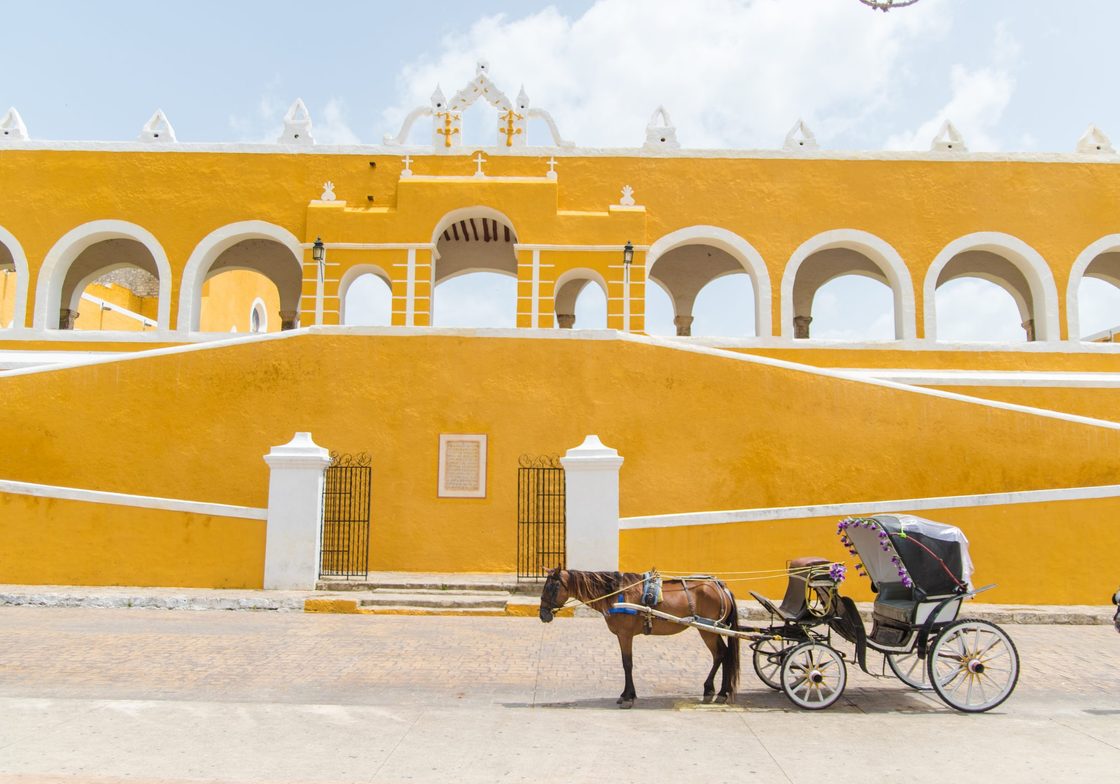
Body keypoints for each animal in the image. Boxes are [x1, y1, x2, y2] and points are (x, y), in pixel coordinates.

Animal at [537, 568, 739, 712]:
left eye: (551, 587)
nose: (543, 615)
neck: (616, 594)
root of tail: (722, 587)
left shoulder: (625, 634)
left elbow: (627, 664)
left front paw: (628, 698)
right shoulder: (622, 635)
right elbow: (625, 663)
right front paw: (626, 694)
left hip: (708, 630)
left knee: (722, 654)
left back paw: (717, 692)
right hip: (711, 630)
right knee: (723, 654)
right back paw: (716, 692)